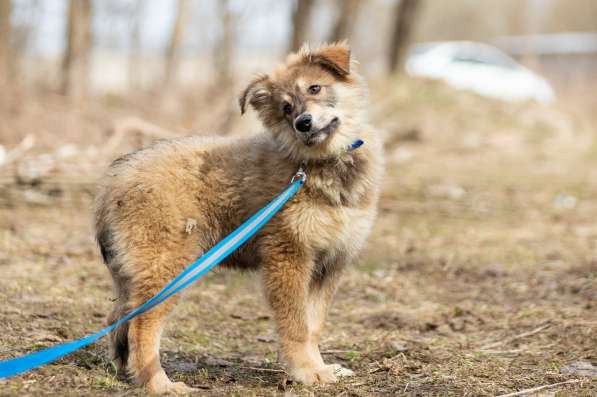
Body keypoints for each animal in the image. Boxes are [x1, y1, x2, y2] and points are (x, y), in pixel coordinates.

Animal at [93, 41, 382, 392]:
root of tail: (114, 179)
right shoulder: (289, 257)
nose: (303, 123)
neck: (319, 164)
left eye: (315, 88)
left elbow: (313, 325)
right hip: (167, 265)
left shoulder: (329, 264)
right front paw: (305, 372)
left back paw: (127, 373)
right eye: (286, 108)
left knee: (117, 318)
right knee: (141, 324)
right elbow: (296, 326)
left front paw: (321, 368)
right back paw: (159, 383)